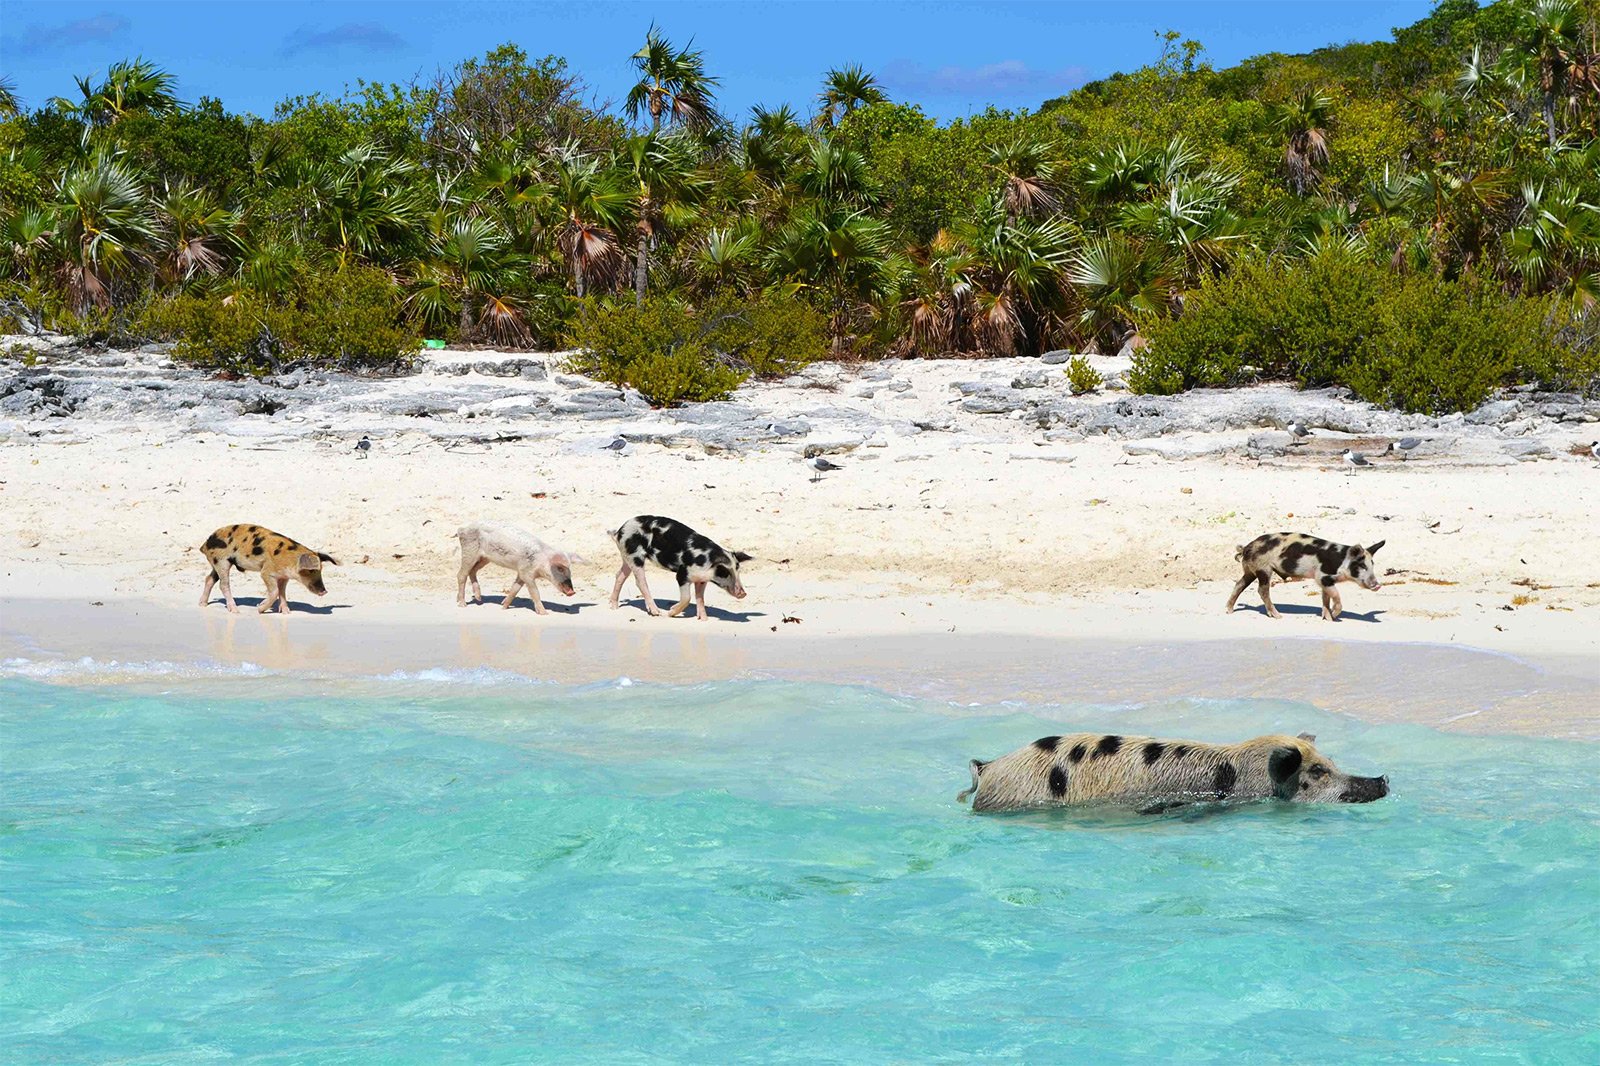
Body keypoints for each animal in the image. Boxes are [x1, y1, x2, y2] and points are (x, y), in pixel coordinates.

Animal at [200, 521, 337, 614]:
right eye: (311, 570)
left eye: (321, 570)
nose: (324, 591)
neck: (289, 560)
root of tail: (205, 544)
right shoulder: (266, 572)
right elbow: (275, 591)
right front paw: (259, 608)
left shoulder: (284, 577)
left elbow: (282, 592)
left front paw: (286, 612)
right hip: (222, 561)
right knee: (223, 585)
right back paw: (235, 610)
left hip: (217, 564)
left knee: (209, 579)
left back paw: (202, 605)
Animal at [608, 512, 752, 617]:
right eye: (724, 572)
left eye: (738, 571)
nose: (743, 593)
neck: (706, 559)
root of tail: (620, 531)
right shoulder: (682, 574)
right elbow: (687, 598)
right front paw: (671, 612)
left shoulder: (701, 580)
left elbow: (700, 598)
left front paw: (703, 619)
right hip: (635, 556)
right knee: (640, 582)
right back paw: (656, 612)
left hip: (626, 556)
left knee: (620, 575)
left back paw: (614, 607)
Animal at [1228, 531, 1382, 624]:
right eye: (1362, 566)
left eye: (1372, 564)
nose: (1377, 585)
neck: (1341, 563)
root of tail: (1246, 547)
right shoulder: (1322, 576)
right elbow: (1336, 597)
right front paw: (1335, 616)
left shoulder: (1325, 581)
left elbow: (1325, 599)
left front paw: (1328, 618)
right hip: (1263, 569)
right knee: (1262, 590)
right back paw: (1278, 616)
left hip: (1250, 570)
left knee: (1239, 584)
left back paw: (1229, 610)